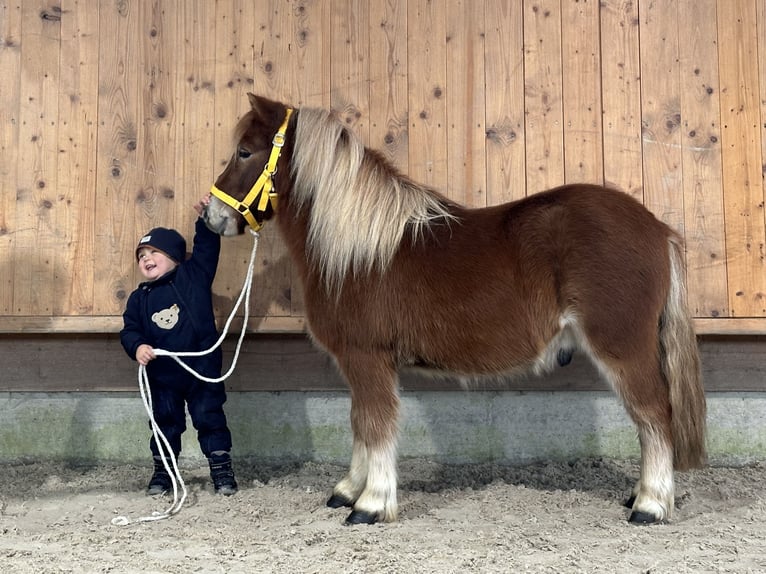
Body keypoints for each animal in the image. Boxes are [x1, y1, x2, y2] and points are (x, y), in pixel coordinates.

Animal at [204, 93, 708, 528]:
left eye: (245, 151)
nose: (211, 216)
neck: (358, 248)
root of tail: (658, 228)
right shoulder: (361, 363)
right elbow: (360, 423)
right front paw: (348, 490)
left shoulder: (367, 357)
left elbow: (375, 424)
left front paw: (370, 504)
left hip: (622, 347)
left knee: (654, 415)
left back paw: (650, 505)